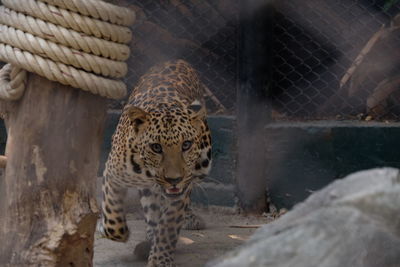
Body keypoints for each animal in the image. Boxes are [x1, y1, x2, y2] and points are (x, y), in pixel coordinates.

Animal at [99, 59, 212, 266]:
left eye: (186, 144)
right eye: (156, 147)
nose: (174, 179)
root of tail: (176, 60)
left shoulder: (181, 190)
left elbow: (168, 226)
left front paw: (160, 259)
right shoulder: (112, 174)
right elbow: (112, 214)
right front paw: (115, 231)